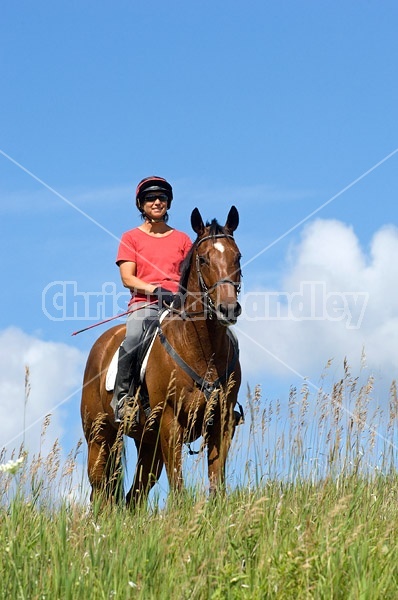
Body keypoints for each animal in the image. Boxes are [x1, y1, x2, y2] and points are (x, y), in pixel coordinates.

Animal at [80, 207, 243, 506]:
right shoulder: (169, 423)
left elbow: (217, 481)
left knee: (134, 495)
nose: (228, 309)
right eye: (203, 258)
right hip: (100, 438)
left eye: (237, 256)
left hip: (147, 443)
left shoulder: (222, 421)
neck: (201, 347)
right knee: (100, 493)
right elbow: (178, 485)